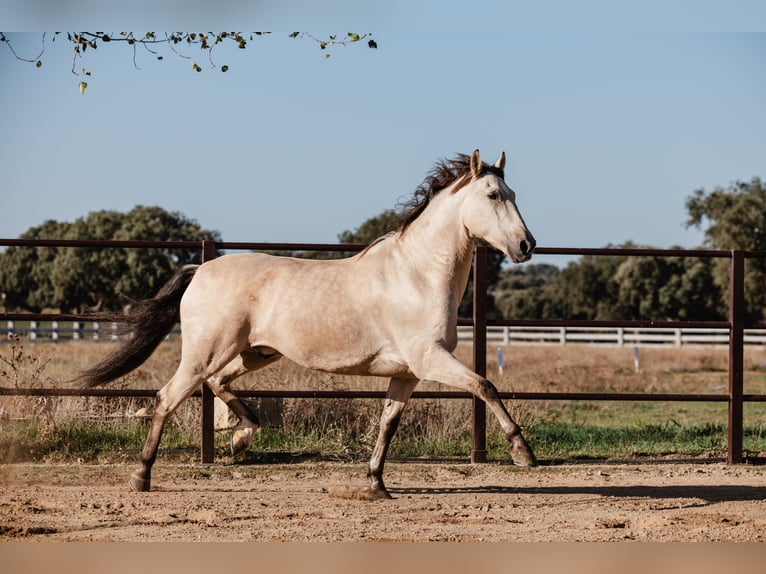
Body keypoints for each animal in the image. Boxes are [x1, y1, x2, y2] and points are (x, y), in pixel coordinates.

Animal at [76, 150, 536, 500]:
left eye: (514, 193)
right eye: (493, 194)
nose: (526, 245)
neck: (418, 274)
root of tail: (201, 269)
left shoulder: (406, 373)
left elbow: (388, 423)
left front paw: (376, 484)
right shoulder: (429, 359)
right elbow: (485, 386)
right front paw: (523, 452)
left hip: (253, 352)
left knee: (218, 384)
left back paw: (241, 438)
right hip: (206, 352)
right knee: (167, 397)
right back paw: (142, 475)